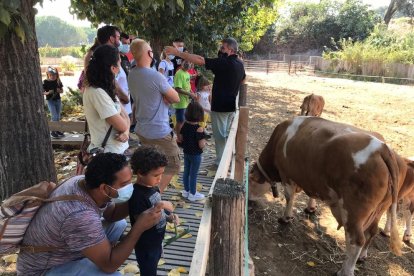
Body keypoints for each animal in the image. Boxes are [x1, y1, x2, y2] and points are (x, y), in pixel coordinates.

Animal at [247, 117, 402, 276]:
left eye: (249, 183)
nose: (248, 200)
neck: (280, 138)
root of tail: (382, 148)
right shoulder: (313, 179)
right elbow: (312, 195)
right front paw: (310, 208)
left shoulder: (286, 174)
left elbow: (289, 197)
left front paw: (286, 217)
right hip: (379, 209)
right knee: (371, 231)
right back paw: (362, 256)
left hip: (353, 212)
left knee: (356, 241)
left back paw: (345, 271)